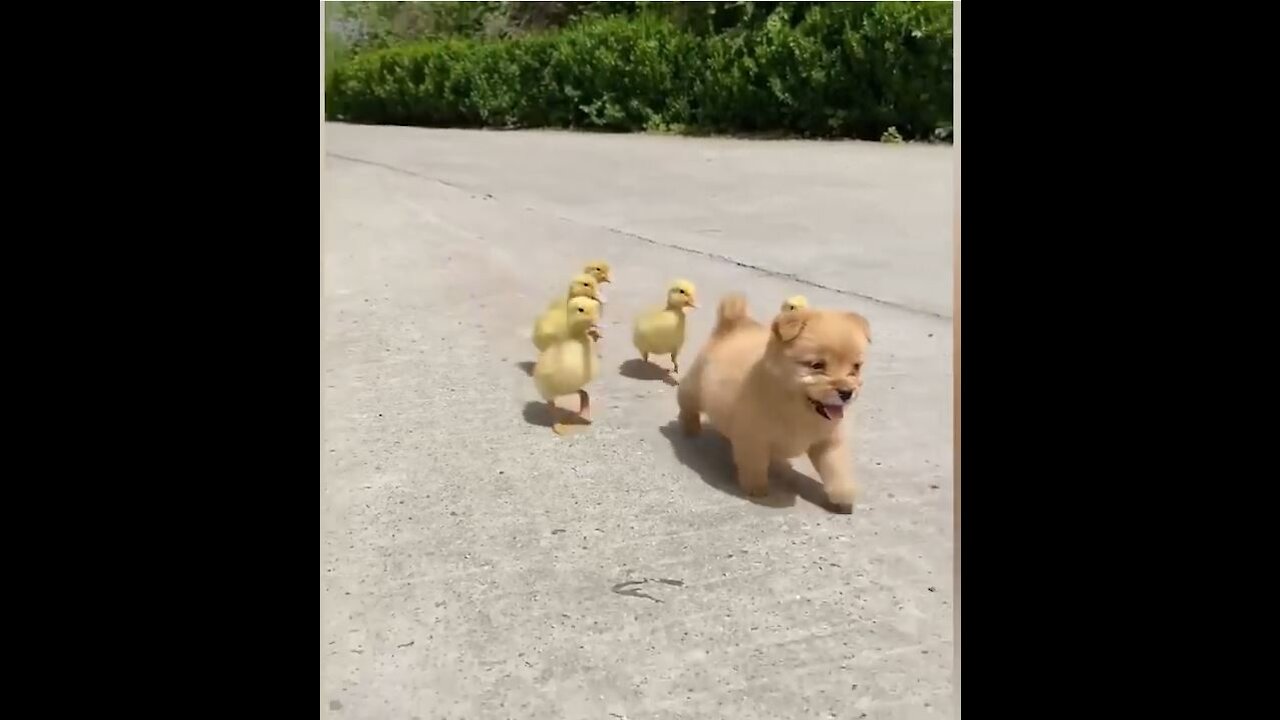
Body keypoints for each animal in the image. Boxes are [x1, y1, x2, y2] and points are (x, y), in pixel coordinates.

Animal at [680, 293, 870, 509]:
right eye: (817, 365)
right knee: (686, 402)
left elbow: (837, 468)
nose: (846, 392)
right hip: (695, 388)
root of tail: (734, 324)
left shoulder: (829, 442)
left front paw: (843, 496)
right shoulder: (753, 438)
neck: (798, 408)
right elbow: (754, 464)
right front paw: (756, 488)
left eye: (856, 367)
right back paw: (690, 426)